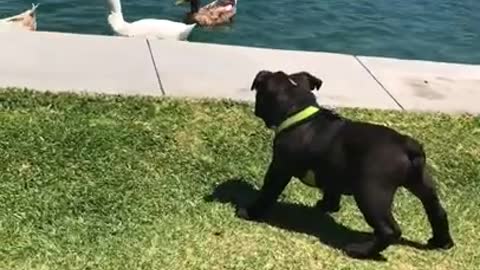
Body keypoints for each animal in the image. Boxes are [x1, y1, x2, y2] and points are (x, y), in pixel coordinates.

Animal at [236, 69, 454, 260]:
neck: (298, 111)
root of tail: (406, 144)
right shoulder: (332, 173)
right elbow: (331, 191)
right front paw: (327, 206)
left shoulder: (279, 168)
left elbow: (268, 193)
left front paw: (250, 212)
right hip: (421, 183)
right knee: (437, 211)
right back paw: (441, 242)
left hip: (371, 192)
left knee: (389, 230)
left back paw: (360, 251)